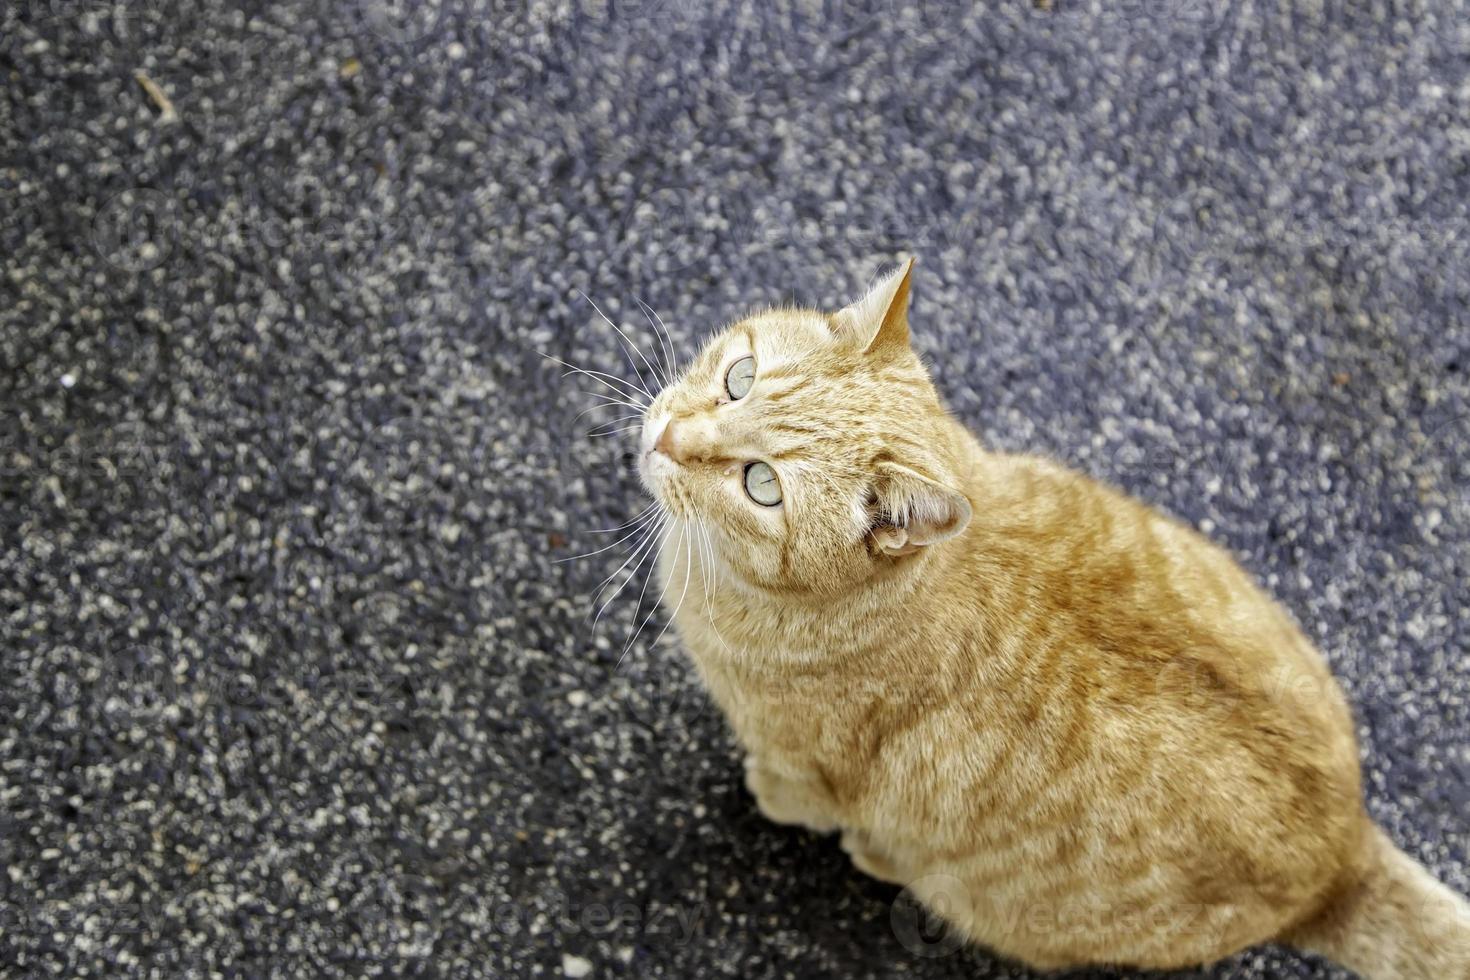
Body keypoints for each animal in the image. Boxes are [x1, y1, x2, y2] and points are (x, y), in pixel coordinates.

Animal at [637, 257, 1470, 975]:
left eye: (761, 485)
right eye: (738, 378)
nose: (667, 437)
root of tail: (1343, 856)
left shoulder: (805, 766)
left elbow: (790, 794)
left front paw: (767, 798)